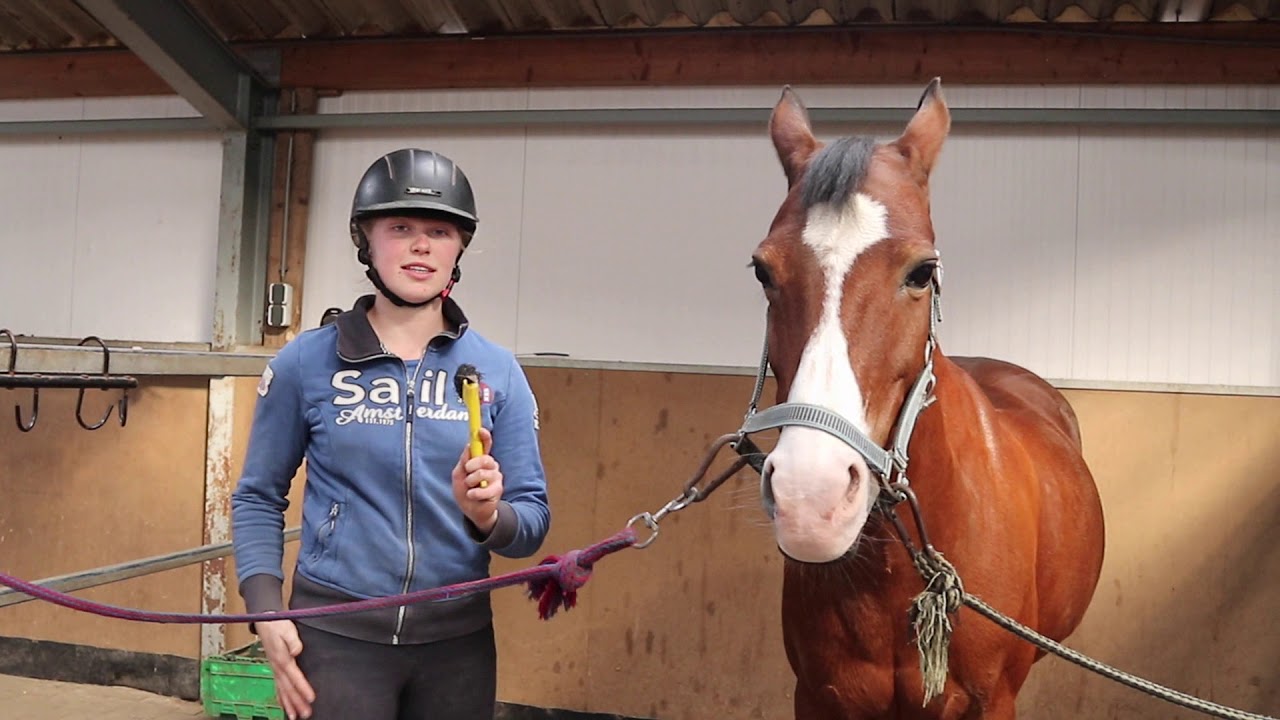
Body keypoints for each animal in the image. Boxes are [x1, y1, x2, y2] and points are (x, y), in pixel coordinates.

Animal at [743, 79, 1107, 719]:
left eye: (921, 272)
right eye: (763, 271)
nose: (811, 497)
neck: (895, 572)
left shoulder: (992, 701)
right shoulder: (817, 696)